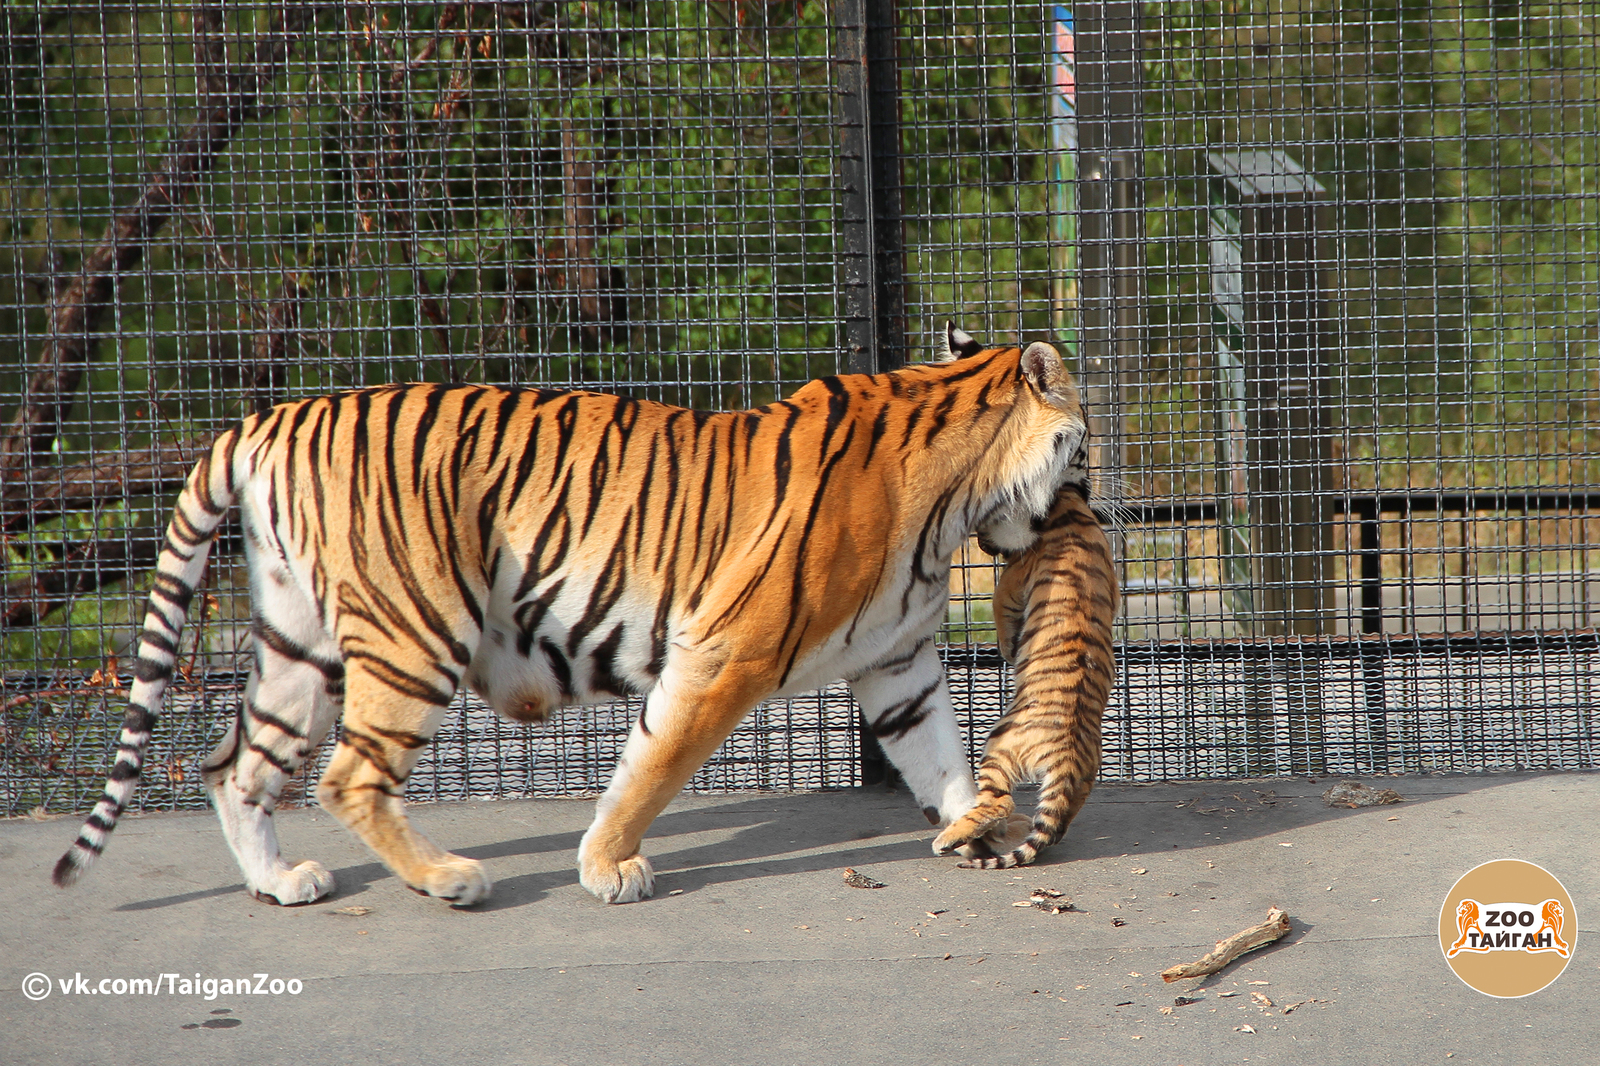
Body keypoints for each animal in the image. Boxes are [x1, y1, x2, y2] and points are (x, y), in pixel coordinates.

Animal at [56, 321, 1094, 896]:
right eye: (1081, 448)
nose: (1088, 501)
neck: (955, 496)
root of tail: (269, 417)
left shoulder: (898, 661)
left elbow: (941, 755)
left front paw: (976, 829)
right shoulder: (726, 653)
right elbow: (653, 766)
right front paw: (608, 867)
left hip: (297, 646)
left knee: (233, 766)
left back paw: (281, 884)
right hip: (413, 632)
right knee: (346, 776)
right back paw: (448, 880)